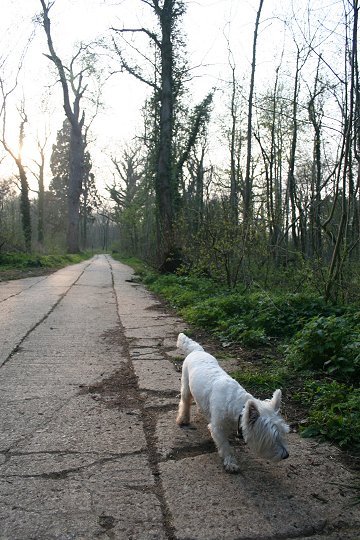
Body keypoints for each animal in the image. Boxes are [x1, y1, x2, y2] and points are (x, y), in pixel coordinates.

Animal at [176, 334, 292, 472]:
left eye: (283, 433)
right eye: (270, 438)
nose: (286, 455)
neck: (237, 406)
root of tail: (197, 350)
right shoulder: (217, 428)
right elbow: (225, 446)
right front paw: (231, 463)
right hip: (186, 384)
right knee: (185, 402)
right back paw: (183, 419)